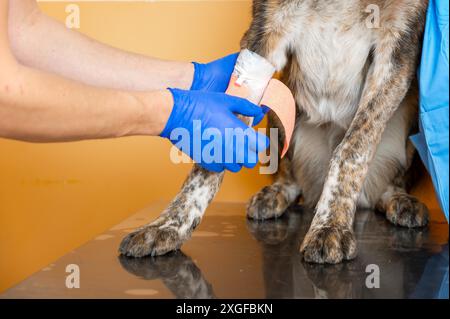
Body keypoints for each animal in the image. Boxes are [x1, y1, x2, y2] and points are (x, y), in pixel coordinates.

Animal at [119, 0, 428, 264]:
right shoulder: (264, 36)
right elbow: (215, 149)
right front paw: (168, 225)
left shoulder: (397, 44)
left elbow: (354, 147)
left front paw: (330, 224)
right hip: (283, 103)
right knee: (290, 177)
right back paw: (275, 194)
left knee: (390, 181)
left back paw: (400, 200)